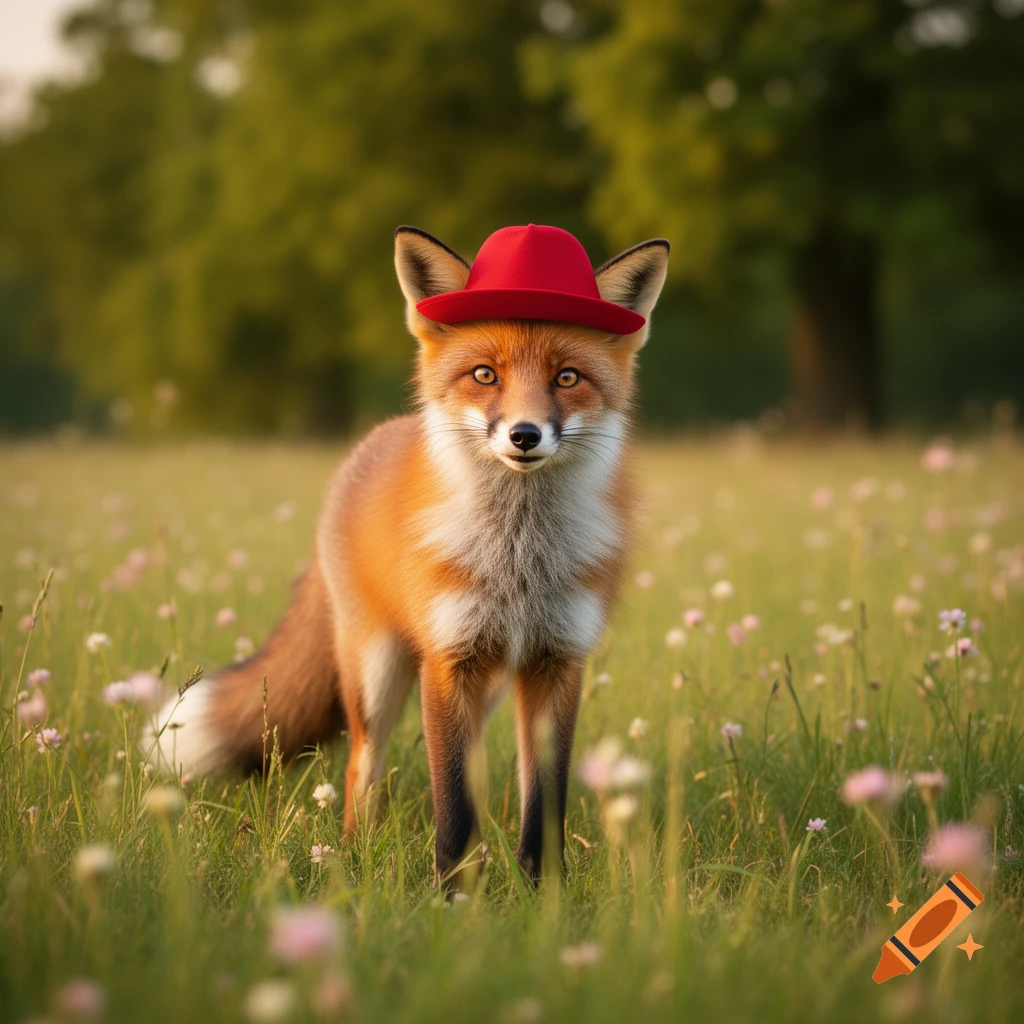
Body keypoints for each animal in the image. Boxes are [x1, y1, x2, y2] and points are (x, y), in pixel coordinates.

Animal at [144, 224, 669, 884]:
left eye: (568, 378)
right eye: (485, 375)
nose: (524, 435)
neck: (518, 558)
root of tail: (371, 442)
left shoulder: (557, 661)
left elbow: (543, 803)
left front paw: (543, 893)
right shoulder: (446, 660)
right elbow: (453, 807)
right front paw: (452, 894)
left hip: (488, 685)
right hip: (379, 671)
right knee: (360, 769)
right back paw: (352, 857)